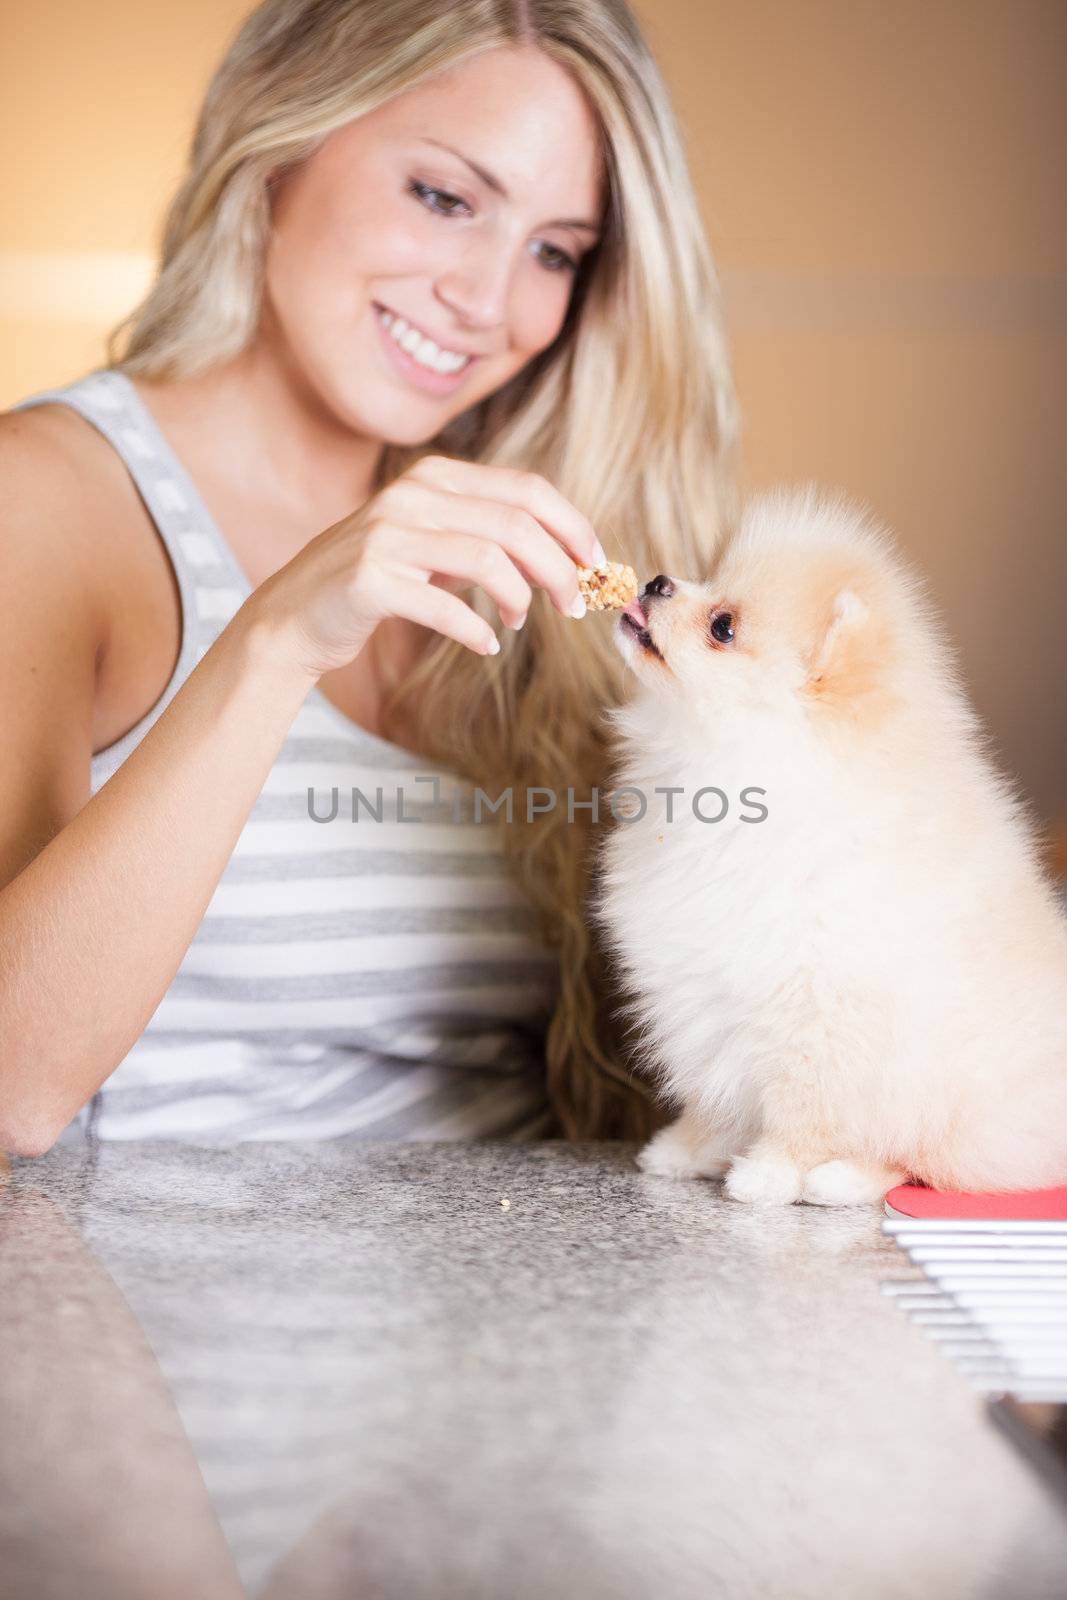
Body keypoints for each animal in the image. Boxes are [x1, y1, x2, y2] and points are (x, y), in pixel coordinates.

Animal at [591, 480, 1067, 1203]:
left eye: (723, 626)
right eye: (709, 578)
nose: (656, 581)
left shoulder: (820, 1013)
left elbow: (802, 1111)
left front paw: (765, 1173)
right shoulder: (703, 996)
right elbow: (713, 1093)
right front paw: (687, 1149)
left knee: (927, 1160)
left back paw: (840, 1178)